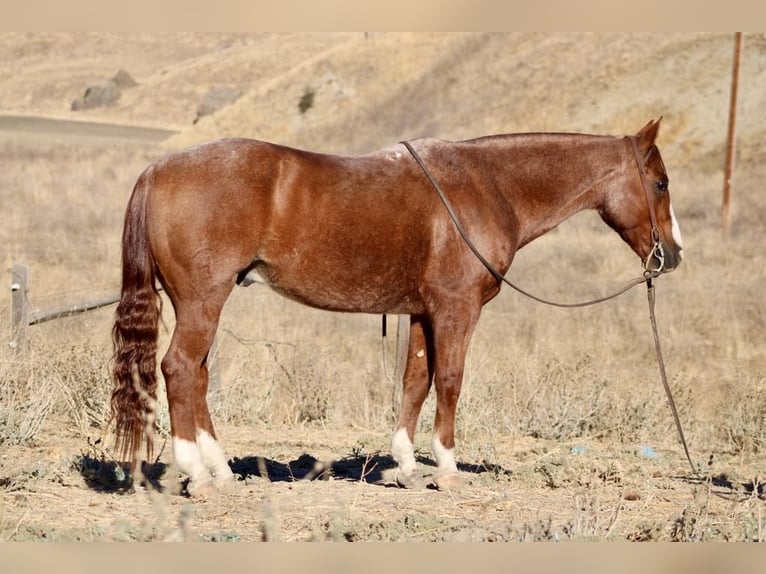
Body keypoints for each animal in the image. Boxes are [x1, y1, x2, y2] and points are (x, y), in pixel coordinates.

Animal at [111, 118, 683, 495]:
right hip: (203, 302)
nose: (673, 254)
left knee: (197, 376)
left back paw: (221, 471)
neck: (485, 186)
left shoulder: (423, 312)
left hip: (203, 304)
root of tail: (157, 170)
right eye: (660, 182)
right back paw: (197, 476)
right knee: (179, 369)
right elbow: (449, 379)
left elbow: (416, 381)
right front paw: (447, 469)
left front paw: (406, 466)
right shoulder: (456, 310)